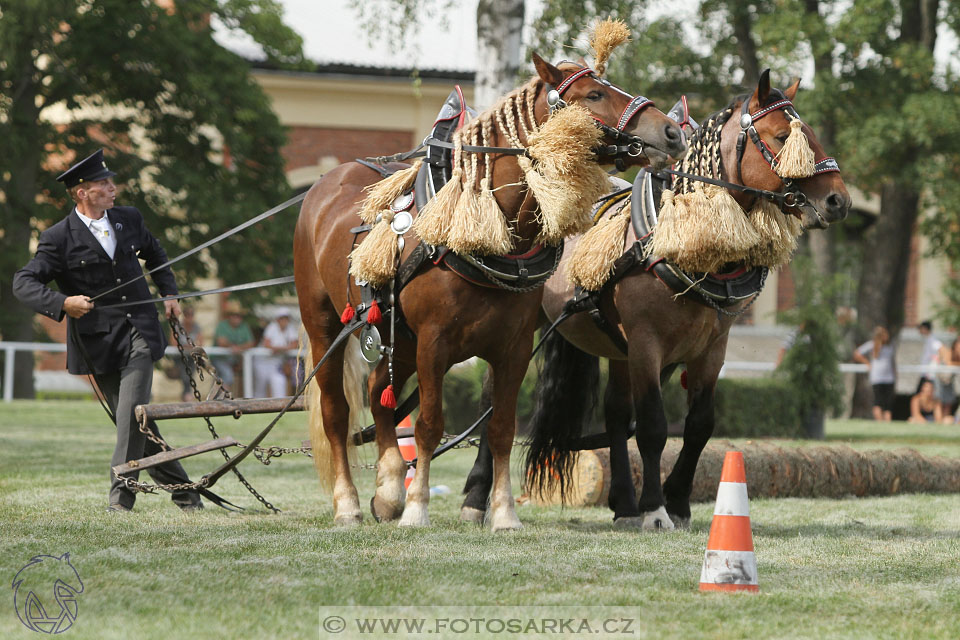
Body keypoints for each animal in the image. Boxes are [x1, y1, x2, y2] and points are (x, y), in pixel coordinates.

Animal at [296, 51, 688, 528]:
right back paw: (349, 504)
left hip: (399, 339)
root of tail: (326, 181)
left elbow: (500, 427)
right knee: (336, 413)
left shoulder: (513, 346)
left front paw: (502, 513)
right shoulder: (433, 342)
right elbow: (428, 425)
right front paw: (418, 508)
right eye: (594, 94)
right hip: (324, 325)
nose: (672, 132)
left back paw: (388, 489)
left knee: (378, 394)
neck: (493, 231)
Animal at [462, 71, 852, 528]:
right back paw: (477, 496)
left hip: (615, 346)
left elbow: (699, 424)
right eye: (782, 137)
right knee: (494, 401)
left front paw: (677, 501)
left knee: (614, 415)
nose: (838, 200)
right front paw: (655, 508)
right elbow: (652, 425)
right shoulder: (646, 344)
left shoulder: (711, 349)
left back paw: (623, 503)